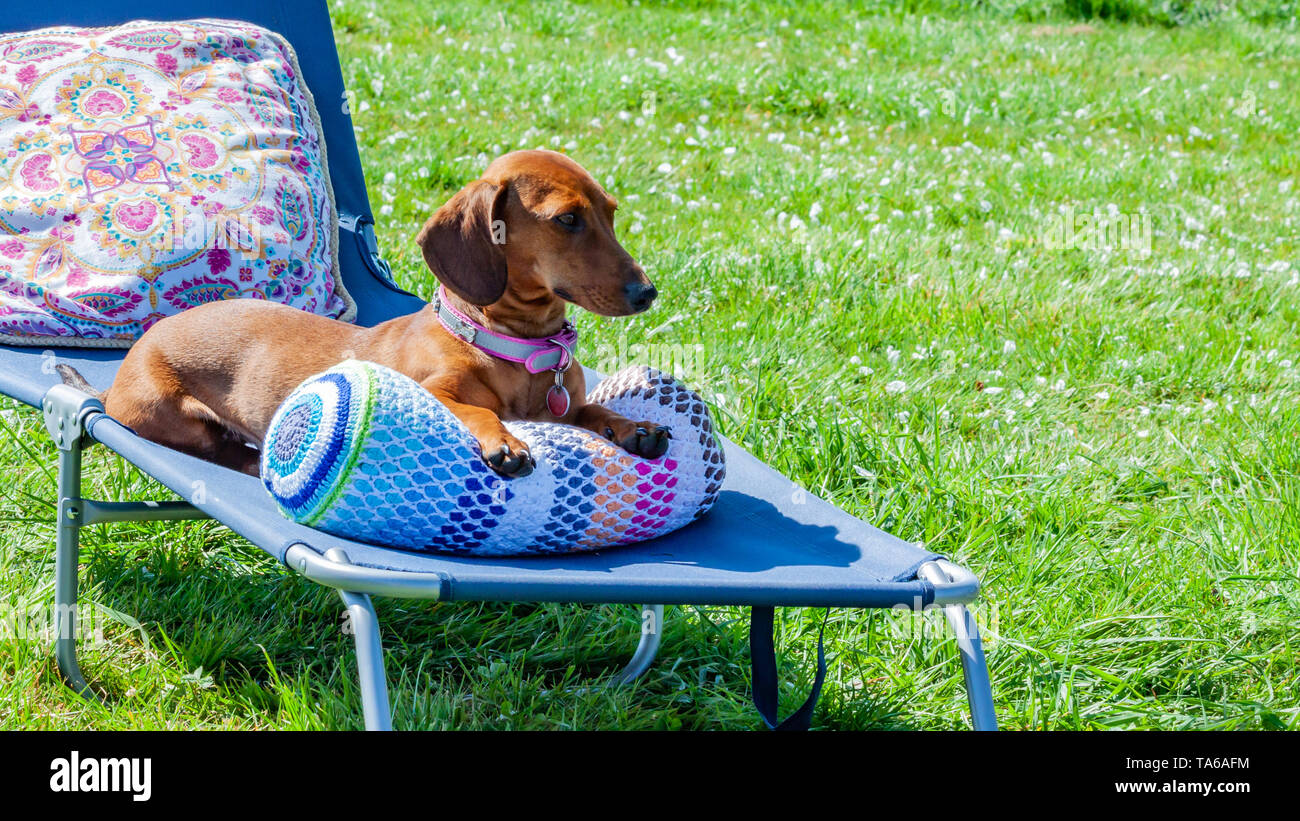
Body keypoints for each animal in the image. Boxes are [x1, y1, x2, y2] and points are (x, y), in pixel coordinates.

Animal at [63, 150, 670, 478]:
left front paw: (631, 426)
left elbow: (590, 411)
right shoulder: (436, 390)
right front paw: (505, 439)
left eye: (610, 213)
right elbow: (475, 409)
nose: (647, 293)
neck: (515, 347)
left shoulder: (563, 407)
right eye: (567, 219)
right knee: (226, 450)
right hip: (170, 414)